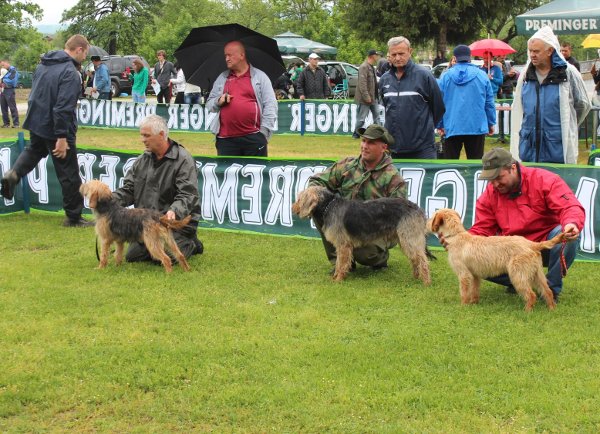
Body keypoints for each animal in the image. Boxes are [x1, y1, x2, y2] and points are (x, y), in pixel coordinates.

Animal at [426, 209, 564, 310]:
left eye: (432, 217)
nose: (426, 223)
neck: (456, 235)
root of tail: (532, 244)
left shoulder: (464, 275)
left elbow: (464, 292)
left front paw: (463, 306)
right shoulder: (475, 276)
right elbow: (474, 291)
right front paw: (474, 303)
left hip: (518, 276)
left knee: (531, 295)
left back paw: (527, 311)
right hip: (537, 275)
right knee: (548, 291)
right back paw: (552, 309)